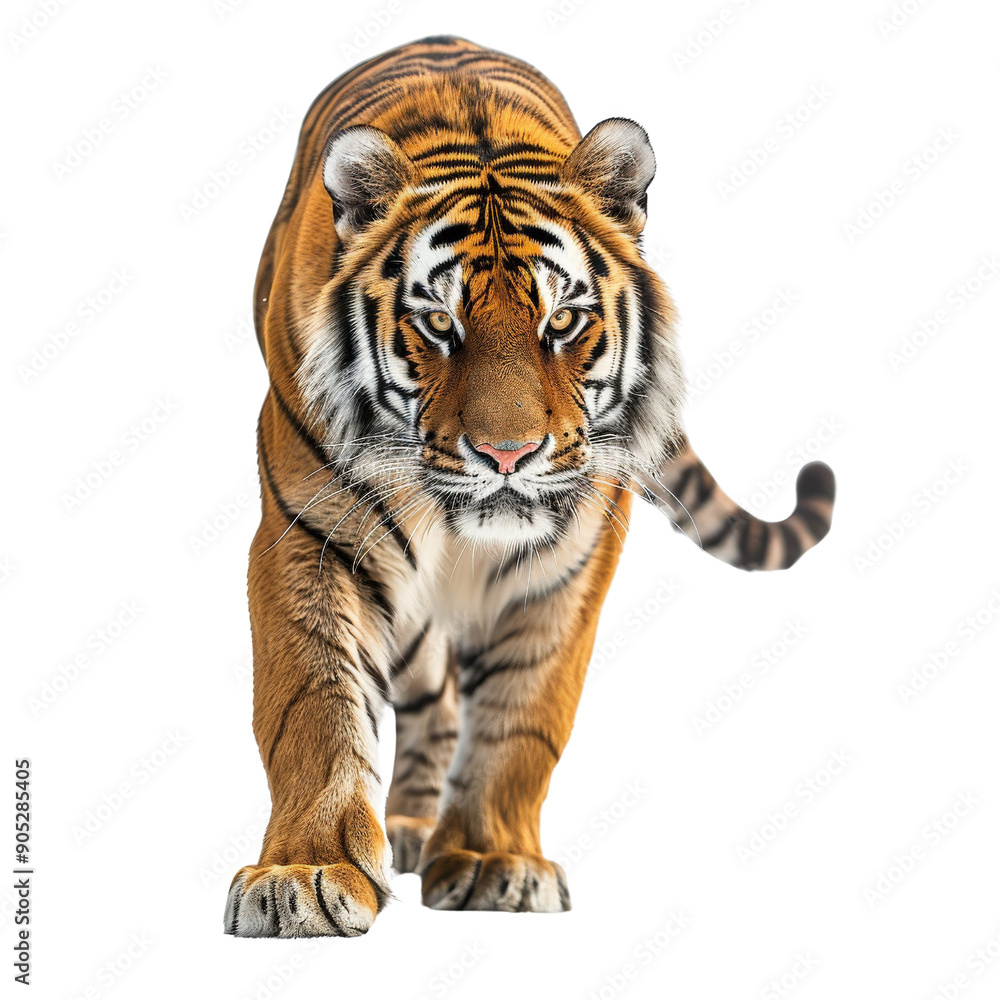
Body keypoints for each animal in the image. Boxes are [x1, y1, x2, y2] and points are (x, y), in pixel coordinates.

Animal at [224, 35, 835, 937]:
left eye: (563, 321)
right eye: (439, 324)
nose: (507, 454)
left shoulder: (573, 558)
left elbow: (524, 714)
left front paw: (491, 860)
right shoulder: (310, 533)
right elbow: (312, 702)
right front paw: (305, 873)